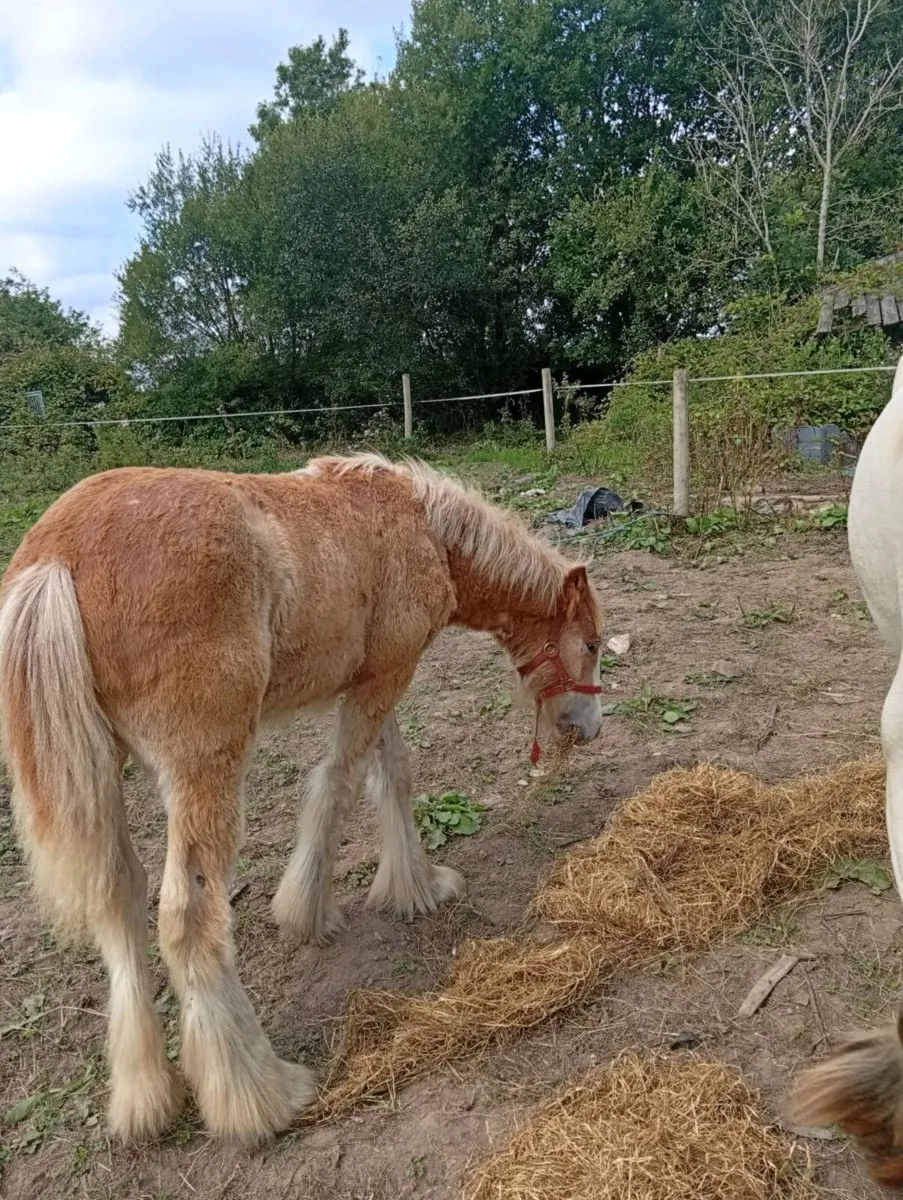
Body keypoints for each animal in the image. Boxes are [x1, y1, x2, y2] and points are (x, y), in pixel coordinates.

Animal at [0, 452, 604, 1145]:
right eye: (590, 643)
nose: (589, 730)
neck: (423, 528)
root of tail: (54, 559)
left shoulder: (377, 678)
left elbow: (391, 774)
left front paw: (416, 887)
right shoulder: (384, 678)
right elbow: (339, 783)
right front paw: (309, 910)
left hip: (103, 771)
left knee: (118, 896)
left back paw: (145, 1096)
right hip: (203, 765)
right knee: (188, 920)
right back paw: (260, 1096)